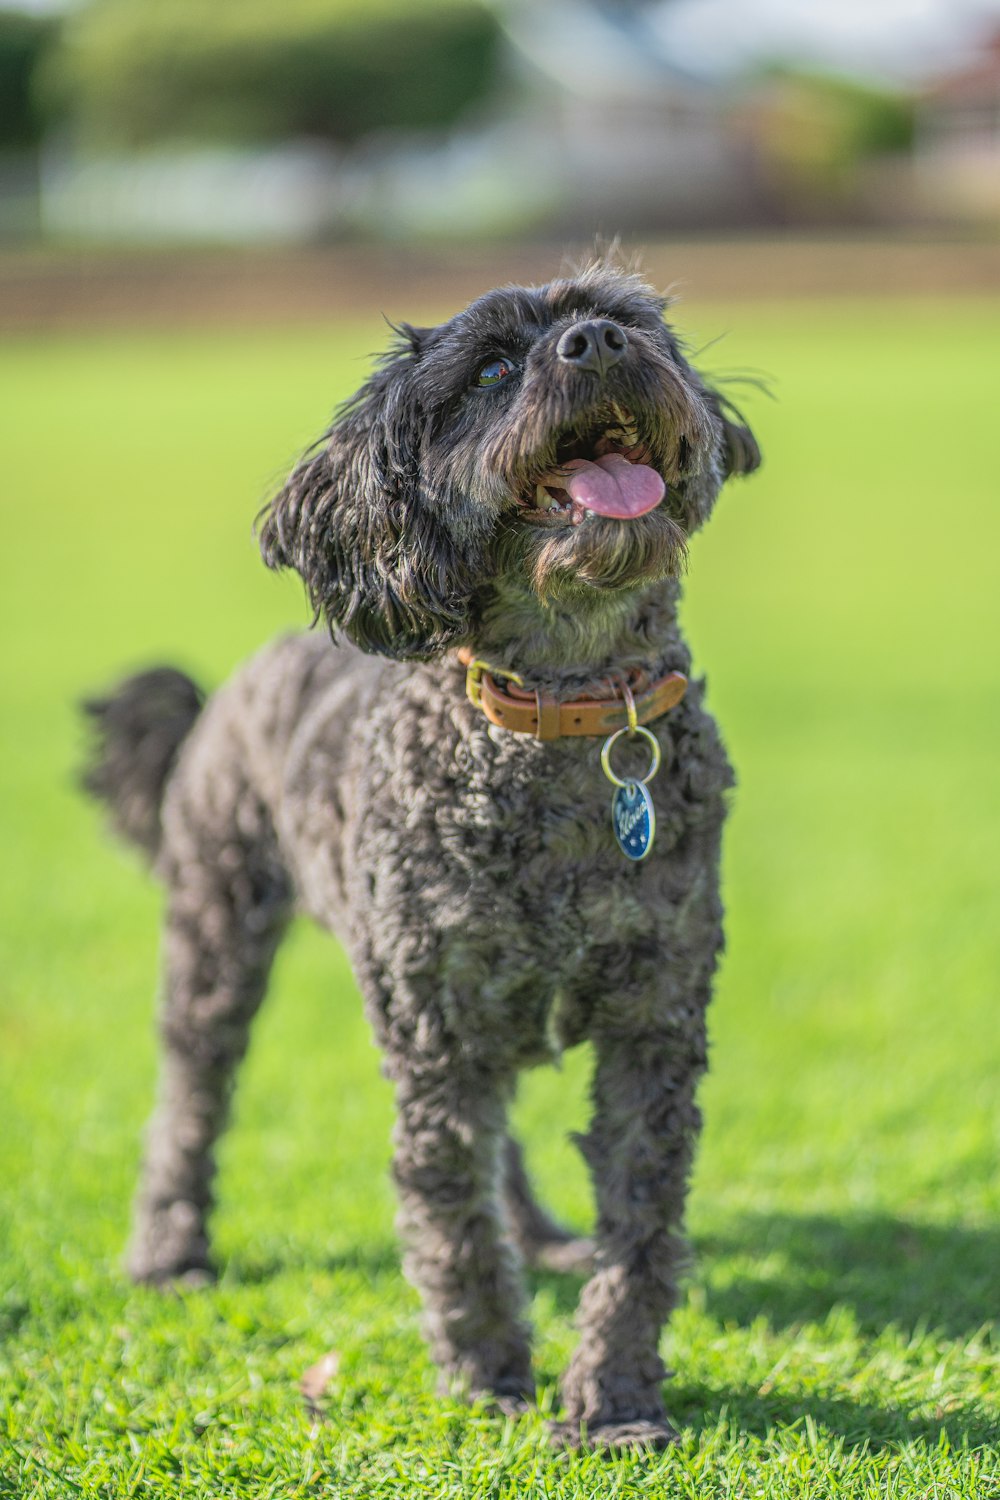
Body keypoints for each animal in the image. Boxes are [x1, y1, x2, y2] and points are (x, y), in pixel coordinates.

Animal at [83, 258, 758, 1440]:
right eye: (488, 371)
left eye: (622, 317)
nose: (594, 343)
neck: (562, 713)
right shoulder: (431, 1030)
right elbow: (448, 1215)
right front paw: (489, 1375)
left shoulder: (655, 1019)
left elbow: (640, 1228)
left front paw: (614, 1400)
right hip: (216, 934)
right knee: (189, 1100)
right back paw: (169, 1250)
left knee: (503, 1141)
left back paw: (541, 1235)